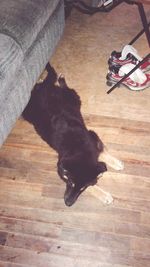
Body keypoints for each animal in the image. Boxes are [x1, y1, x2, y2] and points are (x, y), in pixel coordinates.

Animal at [22, 64, 123, 207]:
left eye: (82, 188)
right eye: (70, 183)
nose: (68, 203)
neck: (79, 147)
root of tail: (42, 89)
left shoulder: (92, 136)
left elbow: (101, 150)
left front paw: (115, 162)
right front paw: (103, 195)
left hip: (73, 98)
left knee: (62, 86)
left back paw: (58, 79)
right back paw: (54, 79)